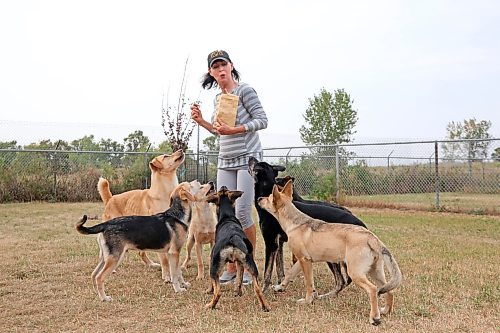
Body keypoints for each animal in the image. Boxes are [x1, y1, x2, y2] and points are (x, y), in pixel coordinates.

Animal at [248, 156, 366, 294]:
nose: (250, 157)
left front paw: (263, 291)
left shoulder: (271, 242)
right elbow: (280, 269)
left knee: (341, 280)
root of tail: (359, 223)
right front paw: (280, 286)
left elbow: (267, 271)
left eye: (255, 163)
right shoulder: (279, 244)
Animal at [258, 179, 402, 324]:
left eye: (269, 197)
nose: (259, 199)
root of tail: (371, 237)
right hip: (375, 271)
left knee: (372, 289)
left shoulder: (305, 261)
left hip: (355, 272)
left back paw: (375, 317)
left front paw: (307, 301)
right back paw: (385, 311)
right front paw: (280, 287)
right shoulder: (302, 260)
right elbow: (289, 274)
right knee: (389, 290)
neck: (294, 221)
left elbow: (308, 283)